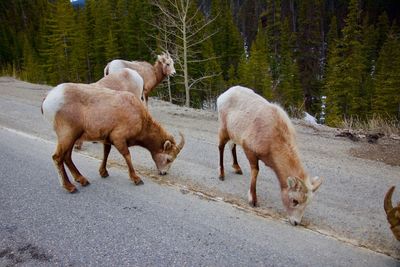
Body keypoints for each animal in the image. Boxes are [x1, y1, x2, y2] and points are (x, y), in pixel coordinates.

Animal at [40, 83, 184, 193]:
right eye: (168, 159)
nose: (163, 173)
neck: (139, 117)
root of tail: (48, 99)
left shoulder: (107, 140)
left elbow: (106, 154)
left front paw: (103, 172)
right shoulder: (118, 138)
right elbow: (127, 156)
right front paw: (136, 179)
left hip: (71, 138)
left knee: (67, 157)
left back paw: (82, 180)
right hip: (67, 135)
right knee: (58, 157)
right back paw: (70, 187)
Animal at [217, 86, 324, 226]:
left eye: (307, 204)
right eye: (294, 200)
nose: (295, 222)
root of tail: (224, 95)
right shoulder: (250, 151)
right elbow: (255, 172)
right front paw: (253, 200)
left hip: (233, 134)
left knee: (232, 146)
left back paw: (237, 169)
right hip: (224, 129)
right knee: (221, 147)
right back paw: (221, 175)